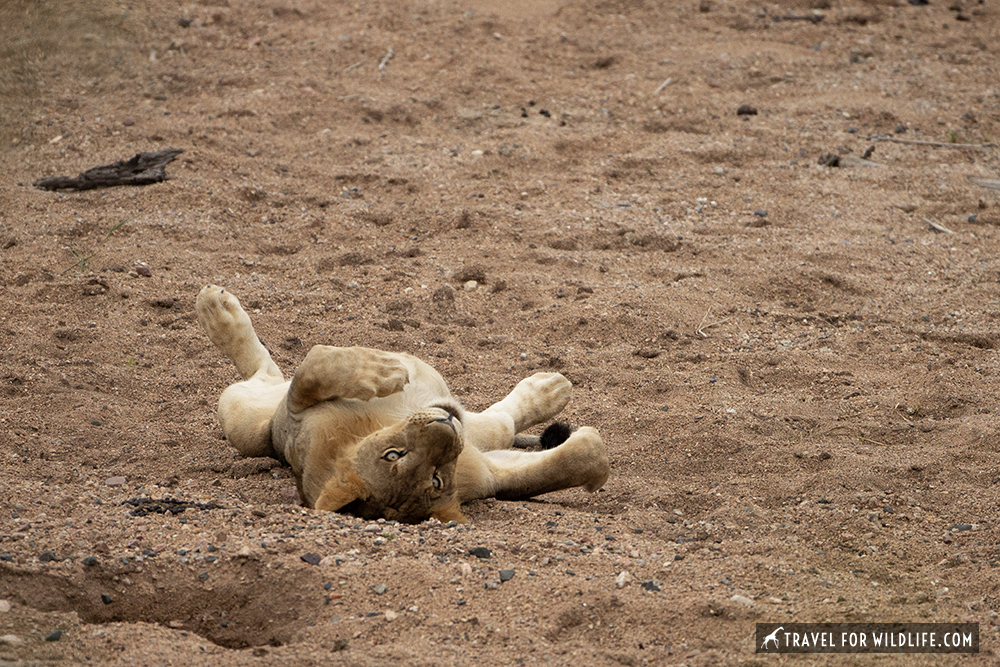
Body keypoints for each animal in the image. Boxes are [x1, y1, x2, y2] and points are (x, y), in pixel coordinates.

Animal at [195, 284, 608, 524]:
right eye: (395, 457)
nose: (445, 426)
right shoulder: (294, 416)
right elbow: (318, 367)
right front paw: (383, 373)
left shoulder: (485, 471)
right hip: (242, 418)